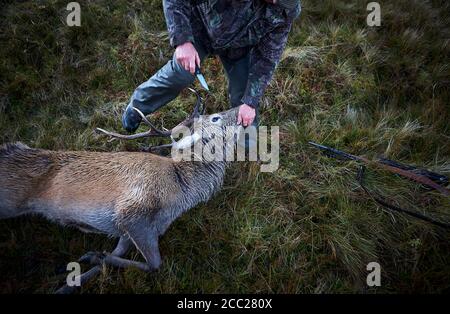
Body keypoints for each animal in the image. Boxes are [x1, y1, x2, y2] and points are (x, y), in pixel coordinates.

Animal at [0, 89, 243, 294]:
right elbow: (155, 264)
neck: (181, 190)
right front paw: (94, 256)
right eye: (215, 117)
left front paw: (74, 278)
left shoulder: (127, 229)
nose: (242, 106)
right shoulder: (132, 211)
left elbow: (116, 254)